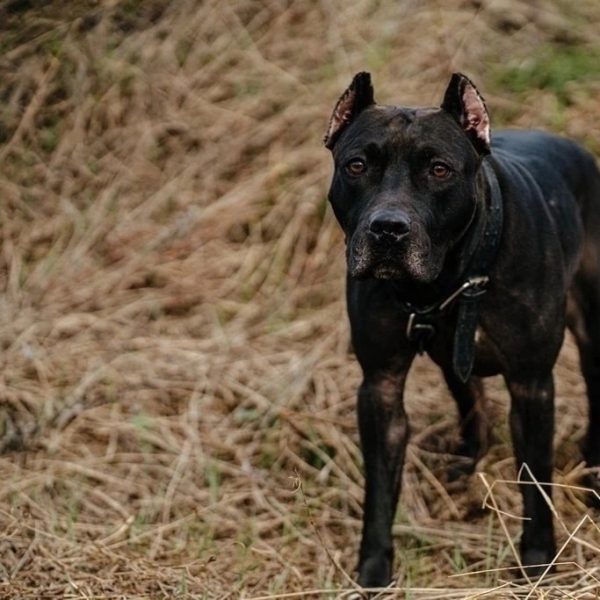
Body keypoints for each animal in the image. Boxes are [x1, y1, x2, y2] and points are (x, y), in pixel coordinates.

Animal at [326, 72, 600, 588]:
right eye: (356, 166)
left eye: (439, 170)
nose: (387, 229)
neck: (451, 278)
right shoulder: (380, 386)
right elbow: (379, 487)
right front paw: (373, 570)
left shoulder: (532, 385)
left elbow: (535, 480)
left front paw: (538, 564)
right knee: (467, 391)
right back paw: (467, 457)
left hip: (594, 326)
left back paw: (594, 464)